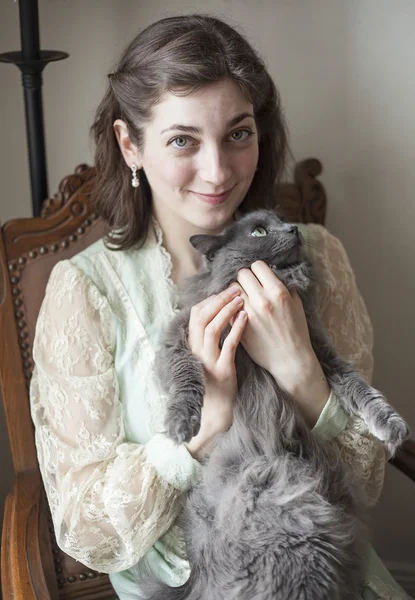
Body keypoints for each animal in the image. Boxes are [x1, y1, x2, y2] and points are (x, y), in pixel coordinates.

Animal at [146, 209, 410, 596]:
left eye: (283, 219)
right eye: (258, 231)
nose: (294, 228)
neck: (281, 279)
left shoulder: (319, 351)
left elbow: (361, 389)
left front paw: (391, 426)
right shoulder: (183, 334)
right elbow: (186, 375)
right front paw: (182, 424)